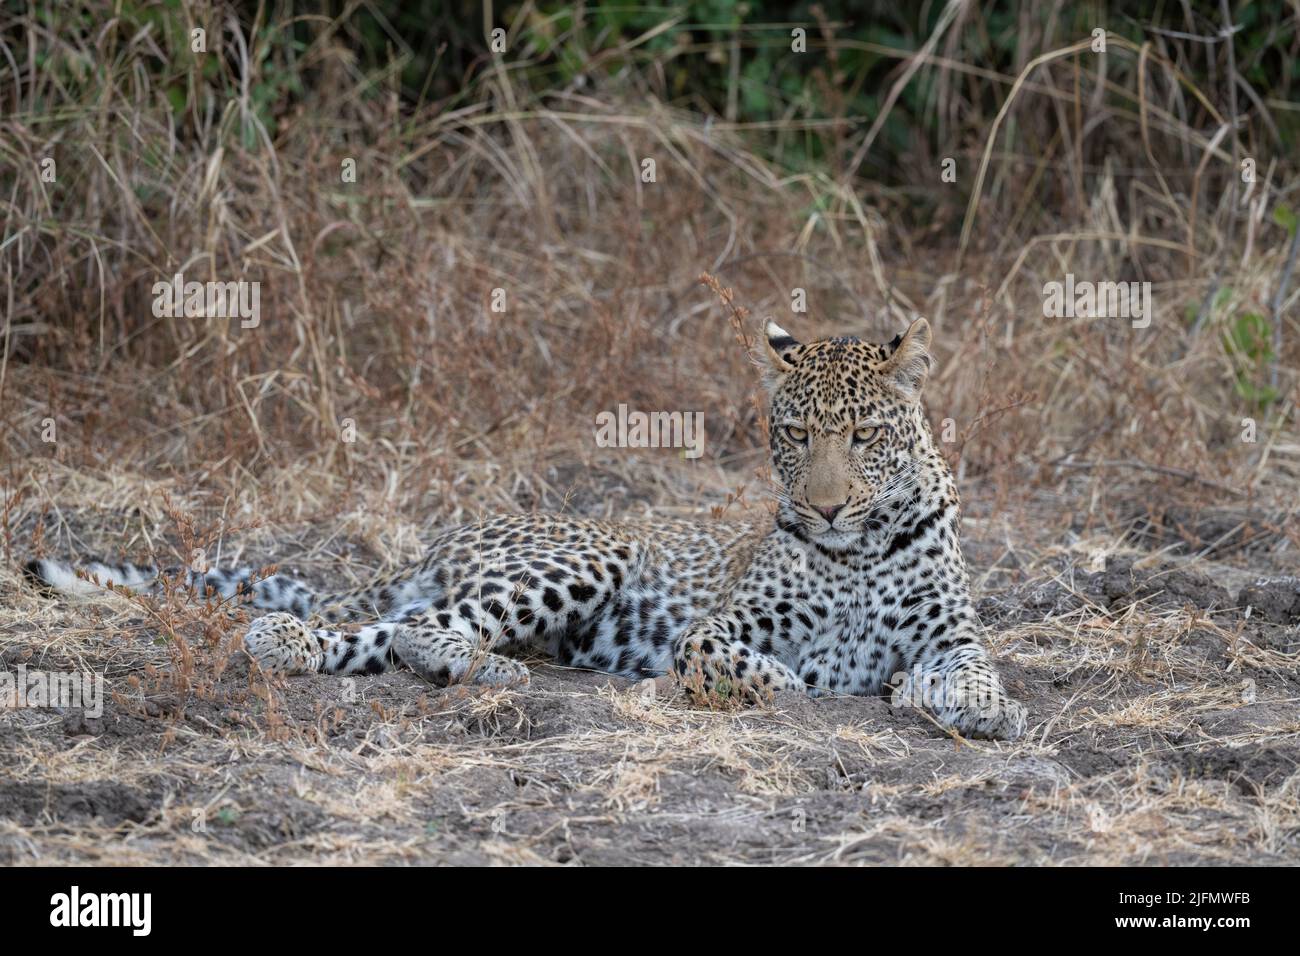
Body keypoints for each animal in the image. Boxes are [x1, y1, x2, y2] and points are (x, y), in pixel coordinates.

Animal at [26, 317, 1027, 740]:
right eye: (794, 435)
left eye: (863, 436)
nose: (823, 506)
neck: (860, 549)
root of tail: (445, 538)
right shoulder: (720, 629)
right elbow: (748, 667)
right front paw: (796, 688)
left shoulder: (950, 636)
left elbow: (975, 670)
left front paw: (977, 708)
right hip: (588, 553)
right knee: (423, 628)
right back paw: (495, 673)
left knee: (366, 636)